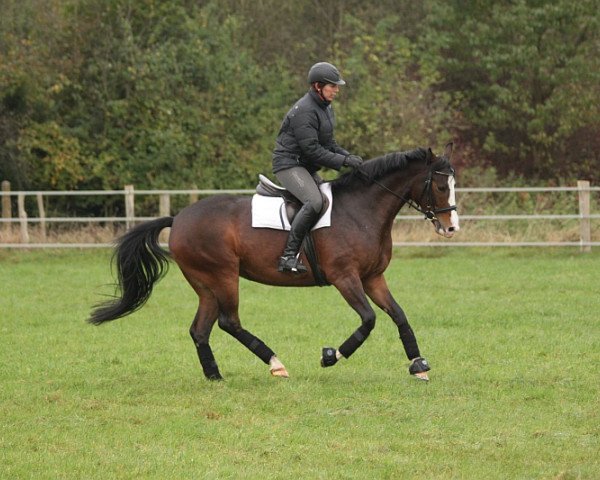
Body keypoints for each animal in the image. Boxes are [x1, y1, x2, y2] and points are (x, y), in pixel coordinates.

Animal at [90, 143, 460, 382]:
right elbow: (368, 320)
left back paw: (215, 375)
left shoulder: (373, 278)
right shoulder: (345, 278)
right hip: (223, 276)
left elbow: (399, 315)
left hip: (206, 284)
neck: (362, 211)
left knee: (200, 329)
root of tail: (178, 218)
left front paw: (419, 364)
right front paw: (330, 356)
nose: (451, 227)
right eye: (442, 186)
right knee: (229, 322)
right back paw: (275, 363)